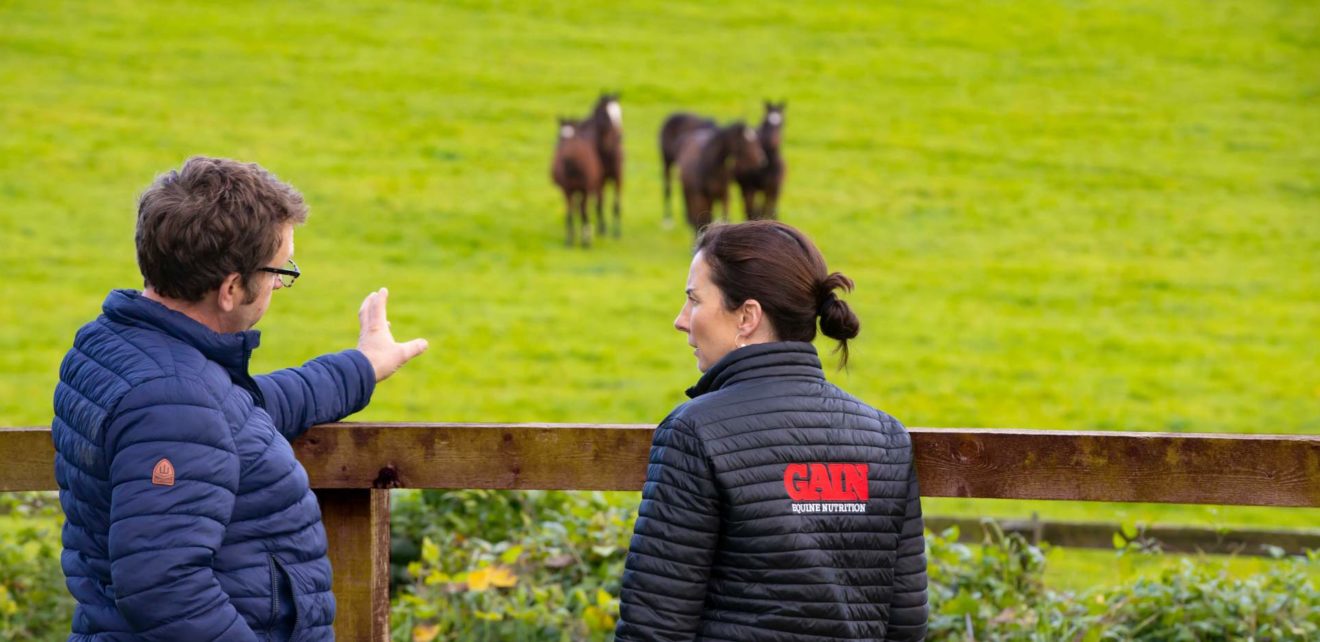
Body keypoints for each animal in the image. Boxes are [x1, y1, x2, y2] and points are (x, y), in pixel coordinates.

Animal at [551, 116, 604, 247]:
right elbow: (569, 214)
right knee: (576, 208)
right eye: (559, 136)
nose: (565, 155)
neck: (573, 169)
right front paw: (569, 240)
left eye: (574, 137)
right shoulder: (567, 190)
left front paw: (586, 242)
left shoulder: (585, 190)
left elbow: (584, 213)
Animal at [575, 92, 620, 237]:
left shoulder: (616, 178)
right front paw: (602, 229)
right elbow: (599, 203)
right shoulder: (599, 181)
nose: (619, 137)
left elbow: (614, 204)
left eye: (620, 113)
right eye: (606, 114)